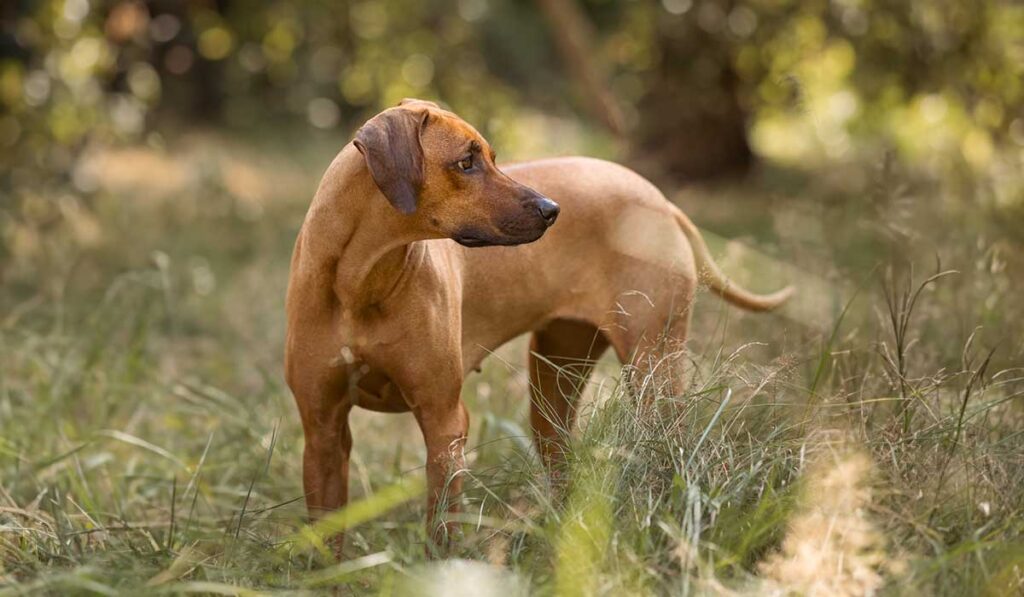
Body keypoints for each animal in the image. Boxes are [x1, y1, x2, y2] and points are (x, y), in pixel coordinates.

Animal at [284, 99, 794, 557]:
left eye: (492, 157)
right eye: (466, 162)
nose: (552, 210)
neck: (360, 283)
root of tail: (661, 201)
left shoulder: (445, 422)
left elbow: (442, 526)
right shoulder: (322, 430)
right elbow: (325, 538)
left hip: (654, 368)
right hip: (554, 382)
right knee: (560, 457)